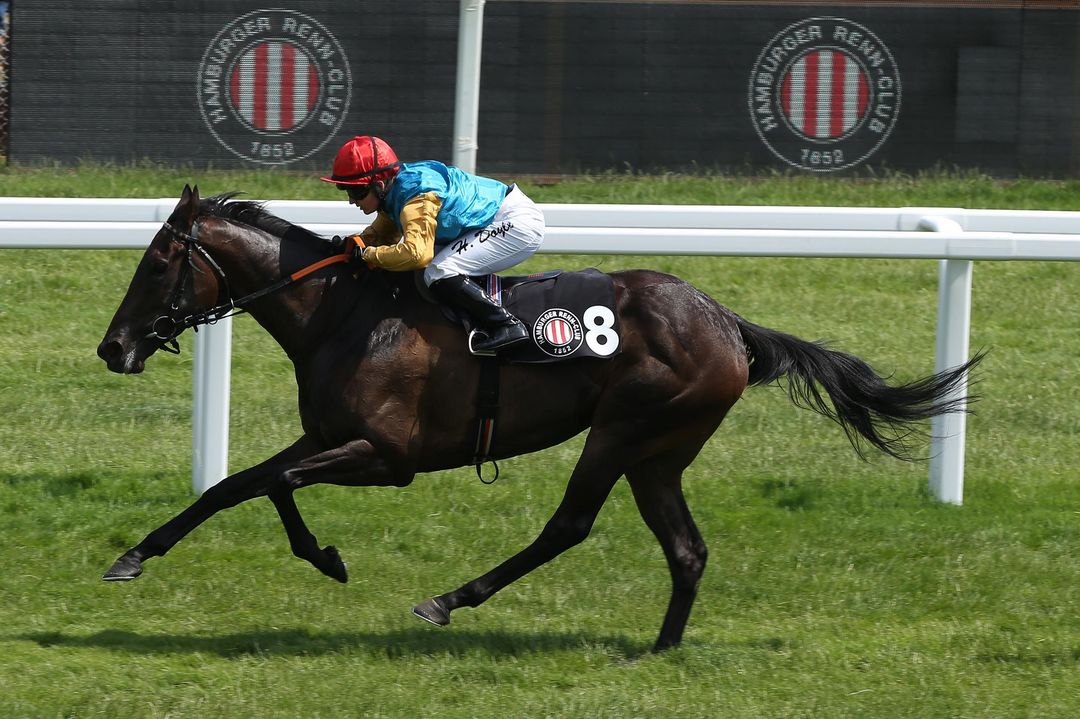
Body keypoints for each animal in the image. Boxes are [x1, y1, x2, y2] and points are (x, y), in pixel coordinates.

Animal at [97, 185, 984, 647]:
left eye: (158, 262)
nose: (113, 347)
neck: (342, 311)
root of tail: (727, 320)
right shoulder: (327, 435)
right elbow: (236, 484)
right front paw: (134, 555)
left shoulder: (384, 454)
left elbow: (271, 482)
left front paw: (325, 556)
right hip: (660, 451)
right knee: (687, 548)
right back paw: (660, 649)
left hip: (623, 428)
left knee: (570, 524)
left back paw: (450, 598)